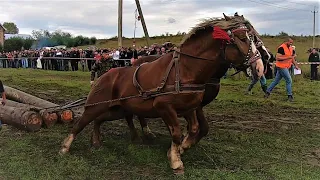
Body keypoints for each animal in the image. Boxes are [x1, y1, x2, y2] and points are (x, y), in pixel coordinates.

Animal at [61, 15, 264, 174]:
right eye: (242, 38)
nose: (261, 67)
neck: (185, 70)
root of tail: (104, 75)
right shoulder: (164, 107)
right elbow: (176, 132)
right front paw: (176, 161)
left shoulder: (190, 107)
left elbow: (194, 129)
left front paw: (181, 148)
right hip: (97, 105)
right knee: (81, 122)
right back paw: (65, 147)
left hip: (117, 109)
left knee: (100, 120)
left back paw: (98, 141)